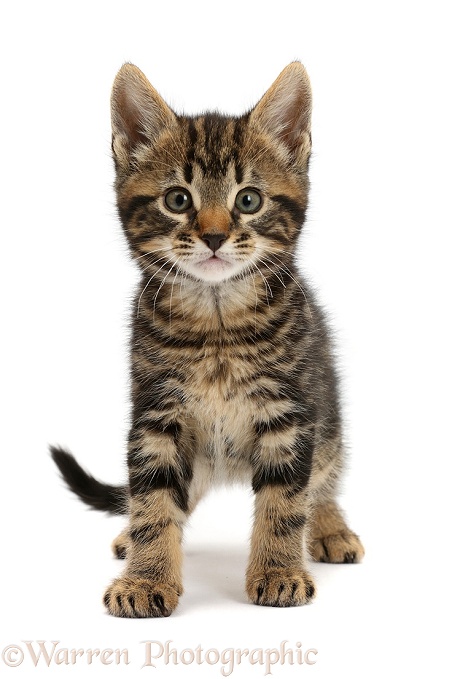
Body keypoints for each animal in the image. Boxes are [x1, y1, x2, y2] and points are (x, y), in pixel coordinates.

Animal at [51, 61, 366, 620]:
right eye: (178, 199)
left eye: (249, 200)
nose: (215, 236)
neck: (217, 323)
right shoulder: (156, 416)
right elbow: (154, 500)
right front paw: (146, 576)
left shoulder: (290, 413)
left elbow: (286, 501)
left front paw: (278, 571)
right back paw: (130, 534)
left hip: (327, 415)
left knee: (323, 477)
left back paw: (329, 527)